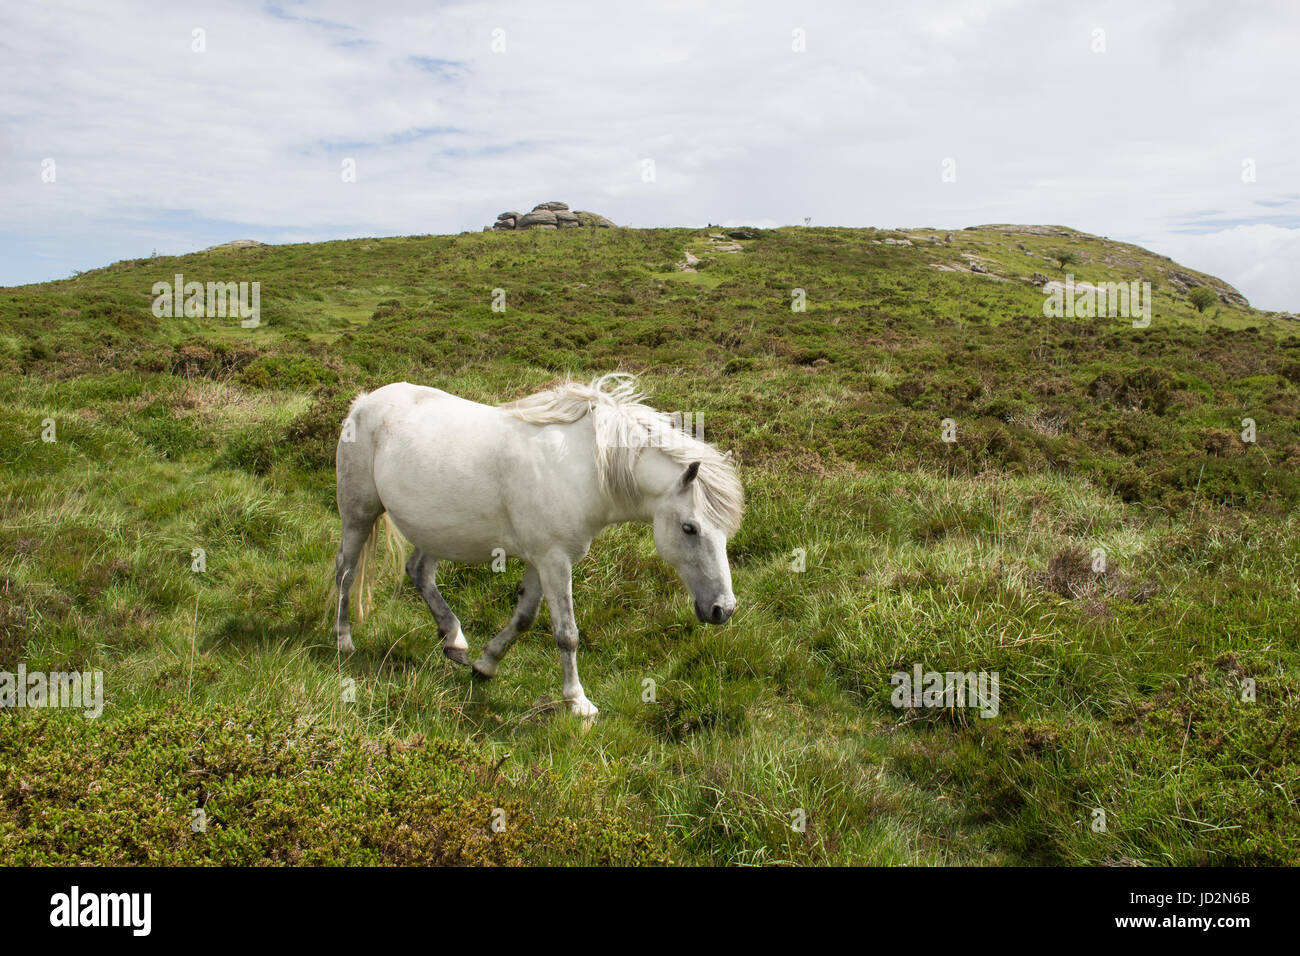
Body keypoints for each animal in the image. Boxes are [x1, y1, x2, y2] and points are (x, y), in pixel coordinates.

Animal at [330, 374, 748, 717]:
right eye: (690, 528)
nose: (722, 609)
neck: (583, 470)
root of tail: (364, 401)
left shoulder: (539, 561)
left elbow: (525, 618)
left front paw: (486, 664)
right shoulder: (554, 560)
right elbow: (567, 633)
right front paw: (578, 702)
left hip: (434, 531)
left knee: (418, 572)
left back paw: (455, 641)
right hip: (358, 514)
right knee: (345, 572)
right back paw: (344, 640)